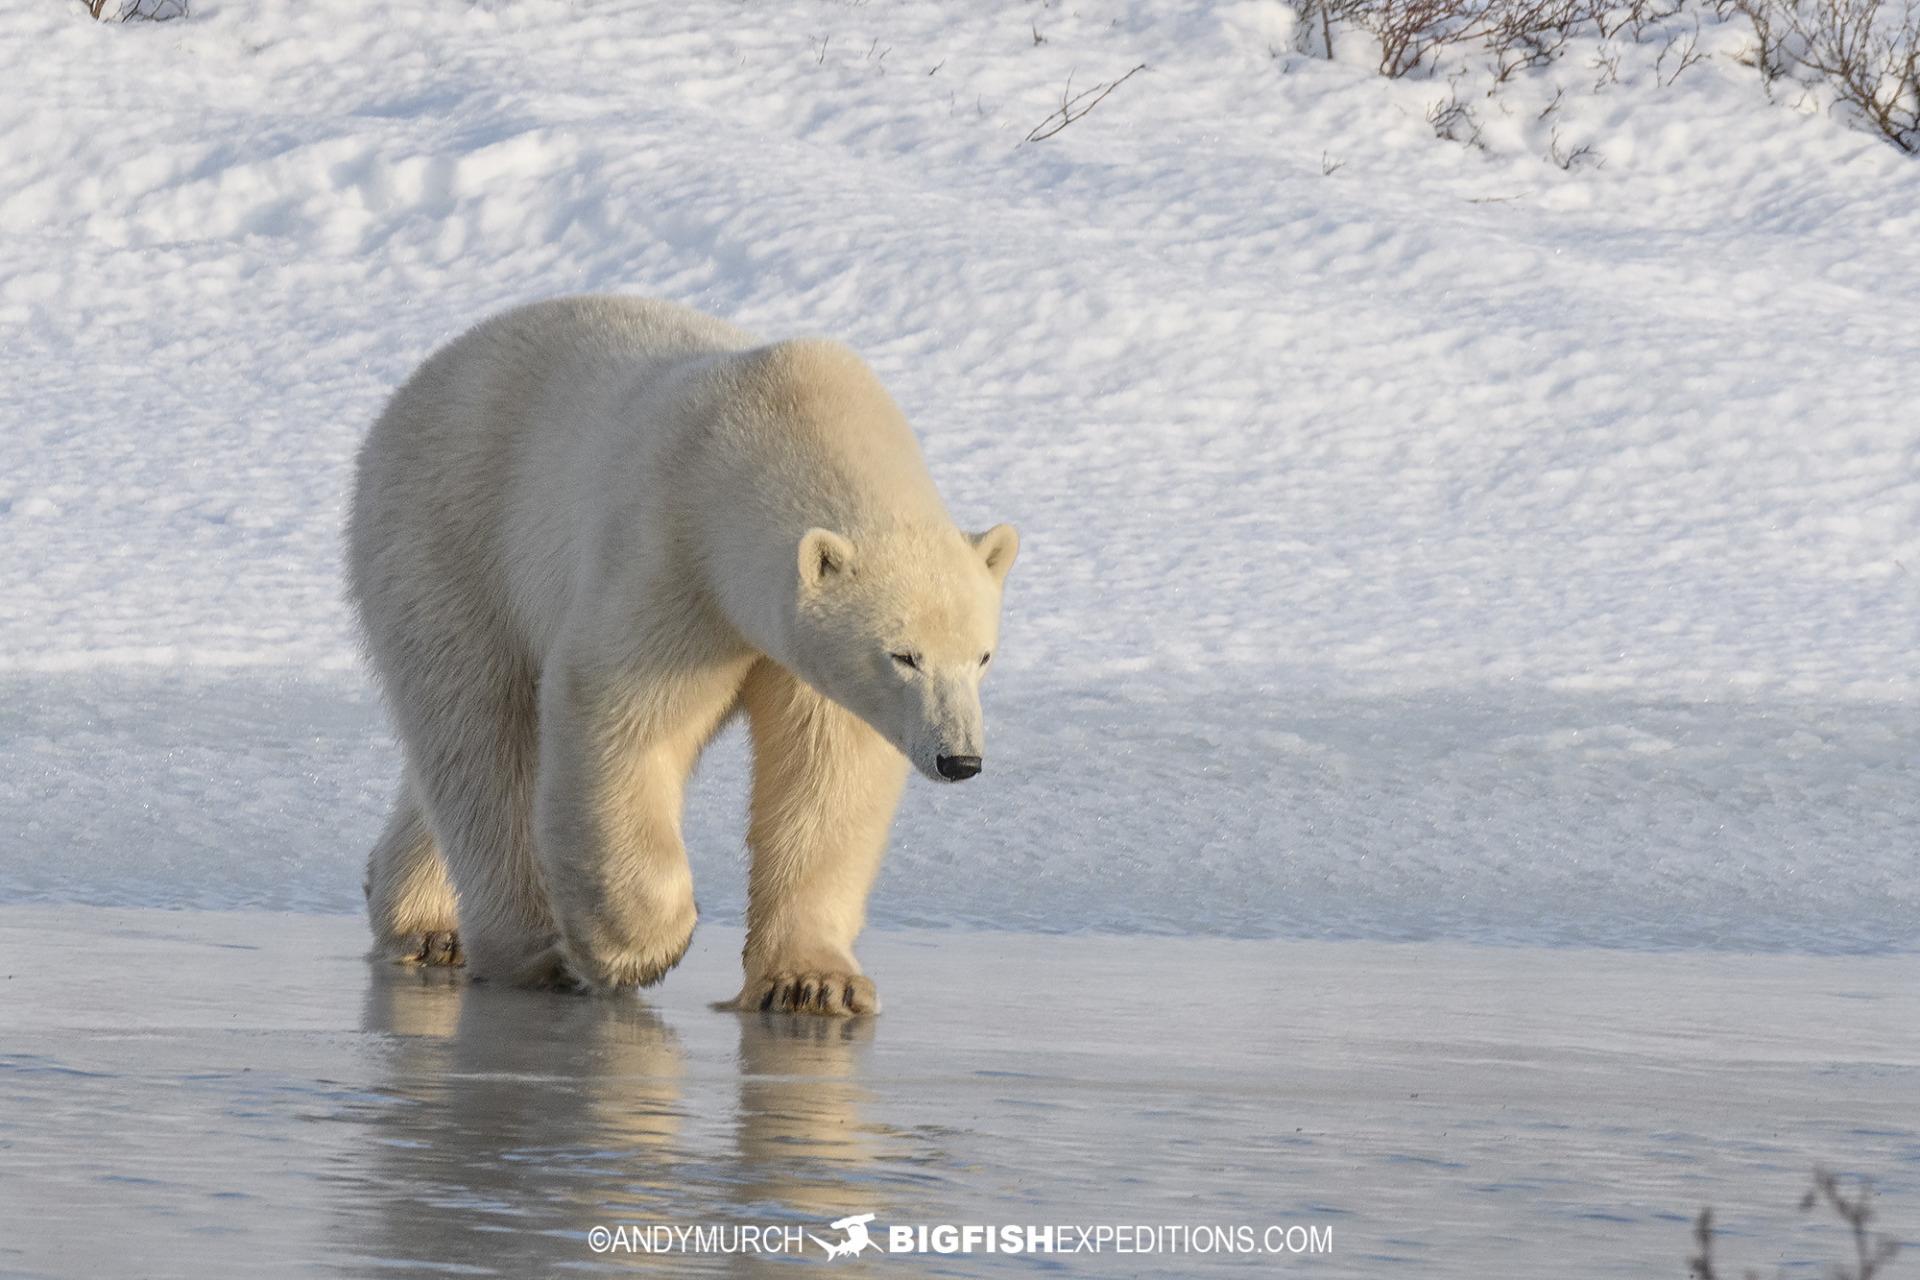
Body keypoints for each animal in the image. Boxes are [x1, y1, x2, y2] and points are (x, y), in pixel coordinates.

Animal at [346, 295, 1018, 1014]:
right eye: (904, 655)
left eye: (981, 657)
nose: (960, 759)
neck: (775, 424)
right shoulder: (671, 549)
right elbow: (617, 710)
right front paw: (639, 946)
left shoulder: (797, 655)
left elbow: (828, 771)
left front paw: (813, 984)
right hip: (447, 535)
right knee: (480, 731)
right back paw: (530, 951)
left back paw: (421, 917)